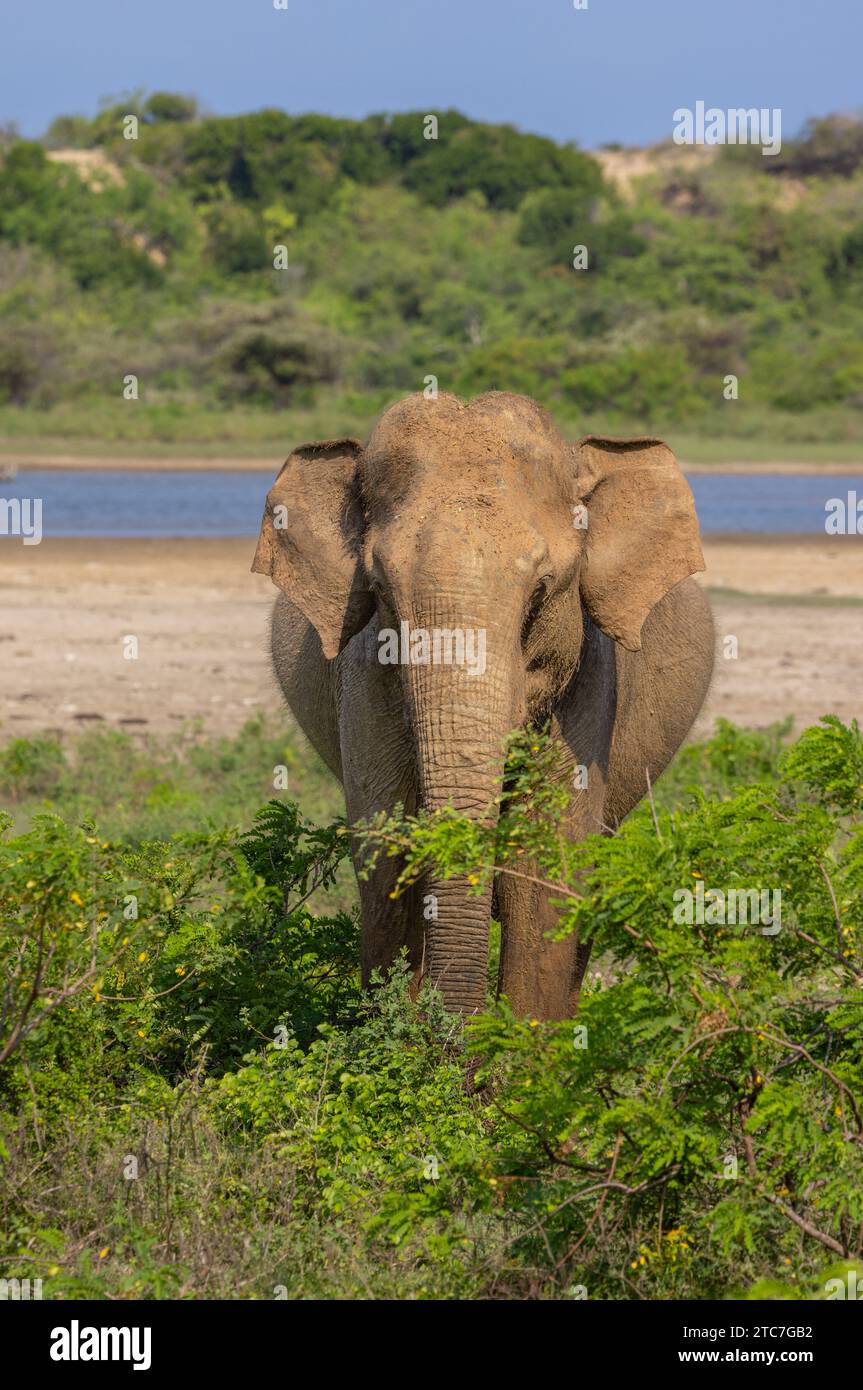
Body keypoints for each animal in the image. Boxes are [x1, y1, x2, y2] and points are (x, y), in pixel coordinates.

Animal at [250, 391, 711, 1023]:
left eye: (541, 592)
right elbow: (387, 854)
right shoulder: (365, 678)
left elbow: (542, 874)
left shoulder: (590, 684)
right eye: (381, 591)